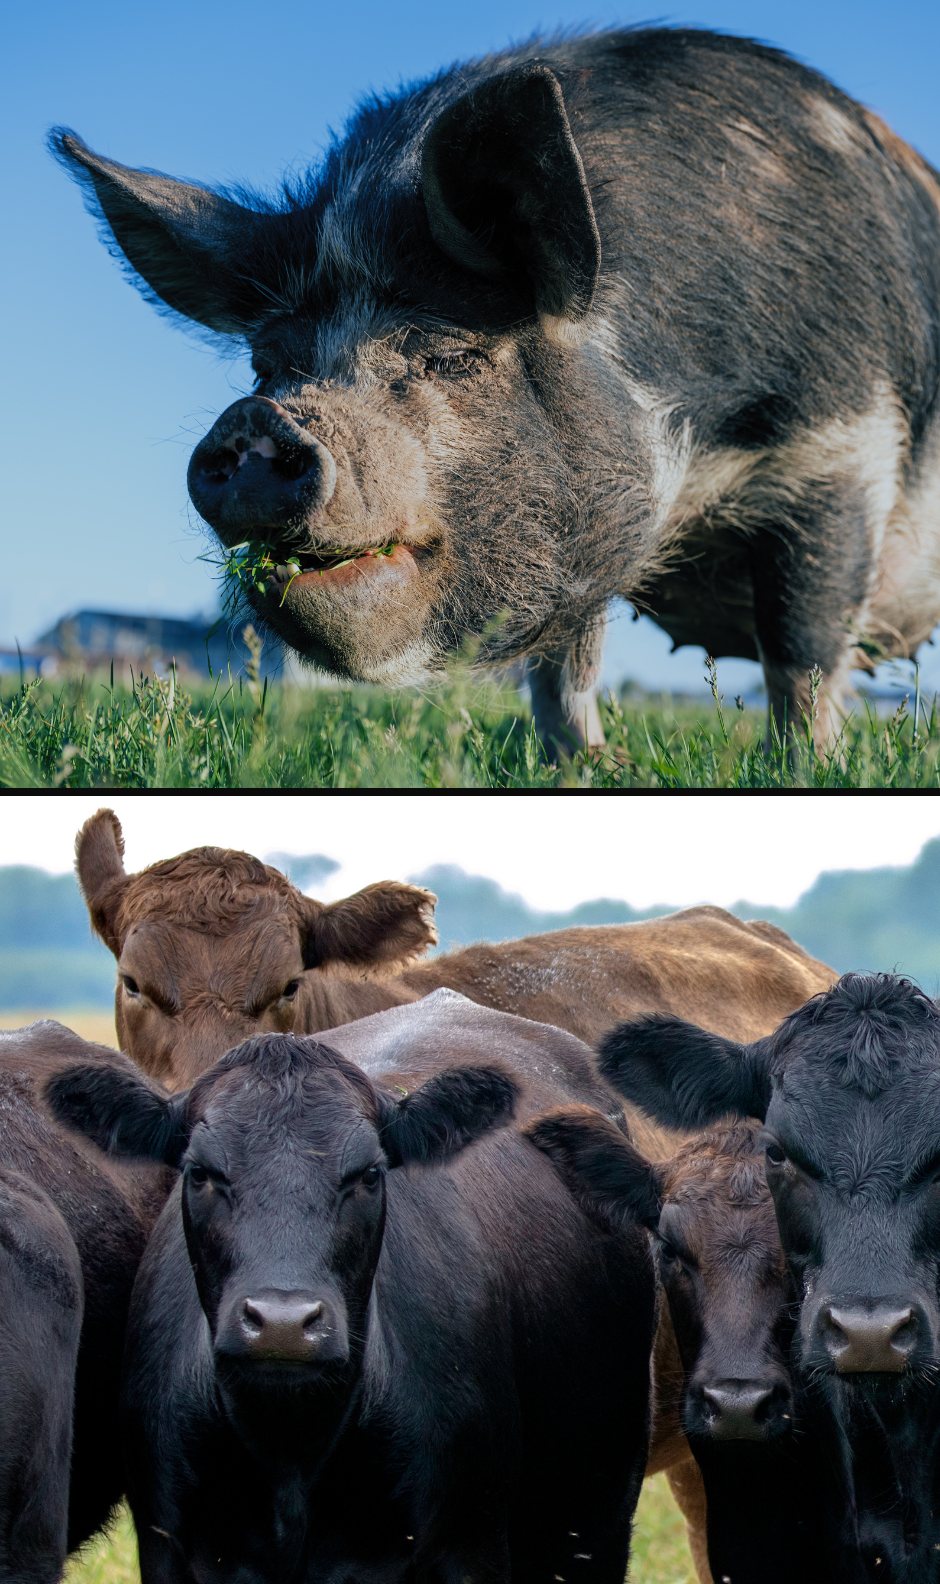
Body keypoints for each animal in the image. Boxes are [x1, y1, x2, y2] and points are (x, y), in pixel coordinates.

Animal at [46, 1024, 657, 1584]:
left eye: (367, 1174)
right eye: (201, 1173)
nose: (283, 1323)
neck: (291, 1454)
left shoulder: (468, 1547)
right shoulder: (167, 1547)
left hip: (594, 1526)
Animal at [50, 29, 940, 754]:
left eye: (450, 355)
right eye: (269, 367)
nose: (257, 418)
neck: (695, 466)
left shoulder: (842, 446)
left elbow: (801, 654)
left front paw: (808, 766)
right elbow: (561, 672)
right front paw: (582, 766)